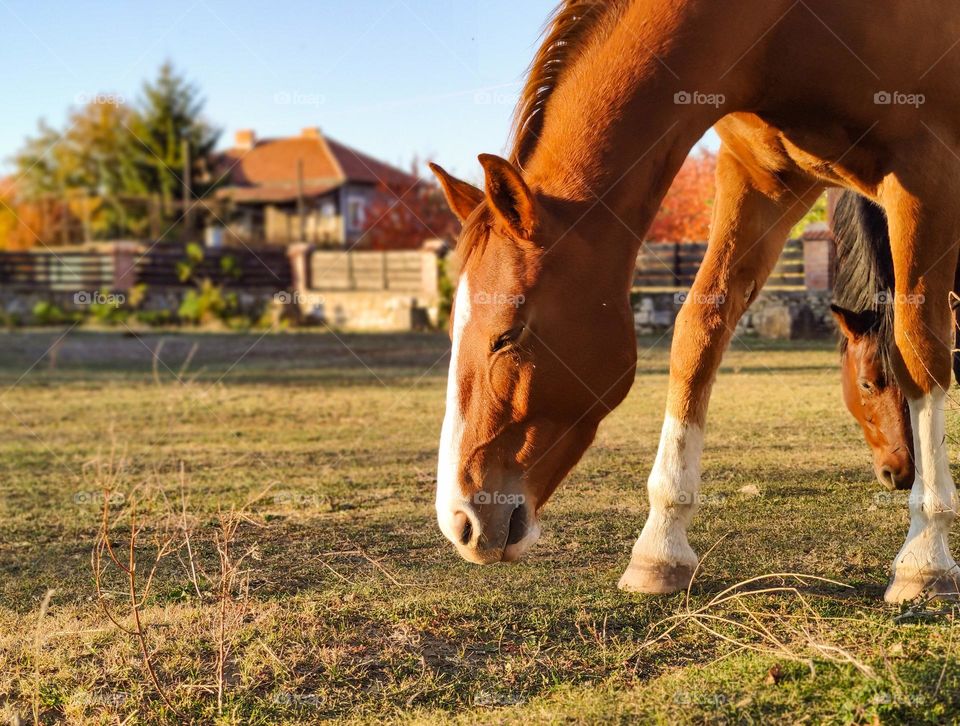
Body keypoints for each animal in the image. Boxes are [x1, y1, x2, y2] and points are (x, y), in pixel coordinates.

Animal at [432, 0, 960, 604]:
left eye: (508, 333)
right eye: (868, 385)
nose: (460, 520)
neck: (785, 26)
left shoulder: (927, 175)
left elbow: (920, 344)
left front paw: (926, 558)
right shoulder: (760, 180)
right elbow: (699, 330)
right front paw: (660, 549)